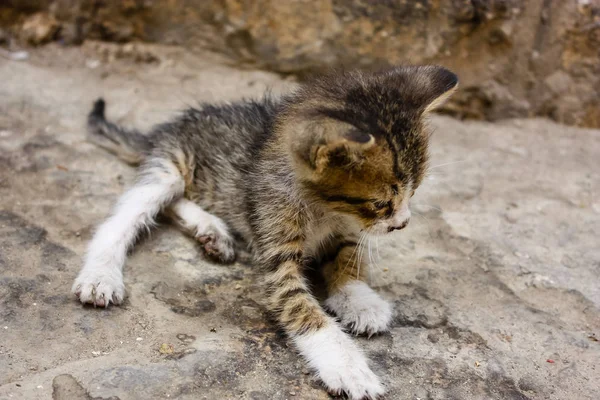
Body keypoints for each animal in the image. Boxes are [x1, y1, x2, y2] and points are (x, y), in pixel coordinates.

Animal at [72, 66, 458, 400]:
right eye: (381, 203)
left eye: (415, 192)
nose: (403, 223)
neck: (325, 210)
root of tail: (166, 129)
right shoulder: (274, 253)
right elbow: (301, 309)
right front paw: (347, 366)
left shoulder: (348, 228)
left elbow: (348, 257)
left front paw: (359, 299)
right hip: (169, 168)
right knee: (126, 215)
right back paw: (101, 275)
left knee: (174, 202)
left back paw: (211, 231)